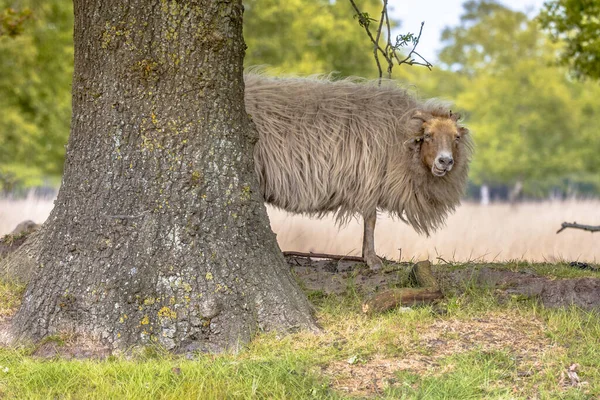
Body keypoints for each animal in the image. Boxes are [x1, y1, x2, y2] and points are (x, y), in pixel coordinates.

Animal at [244, 73, 474, 270]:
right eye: (427, 135)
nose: (445, 161)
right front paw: (372, 259)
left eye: (456, 137)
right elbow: (370, 220)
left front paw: (368, 256)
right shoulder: (369, 180)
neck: (398, 136)